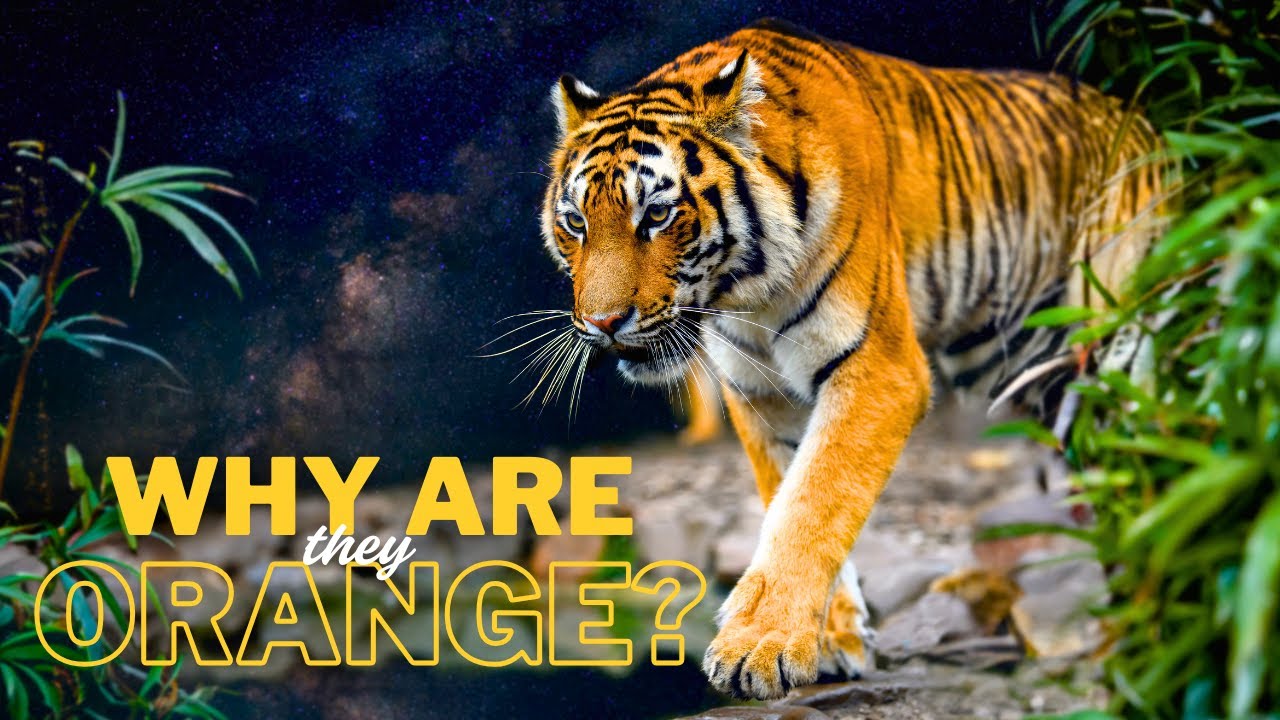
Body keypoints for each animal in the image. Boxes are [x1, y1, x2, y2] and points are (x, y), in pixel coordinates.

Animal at [540, 18, 1163, 700]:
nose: (602, 323)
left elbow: (816, 498)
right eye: (575, 223)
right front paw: (828, 640)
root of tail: (1145, 122)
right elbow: (786, 495)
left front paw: (759, 645)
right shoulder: (762, 393)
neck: (746, 291)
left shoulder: (879, 368)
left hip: (1115, 352)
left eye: (656, 214)